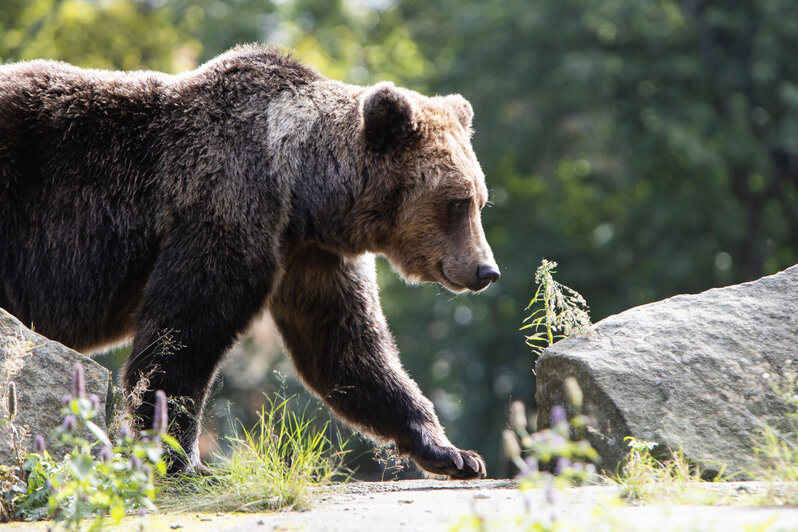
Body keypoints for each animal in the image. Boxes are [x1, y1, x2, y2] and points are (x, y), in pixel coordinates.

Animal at [0, 44, 500, 478]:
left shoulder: (312, 258)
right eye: (457, 202)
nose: (486, 271)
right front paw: (180, 457)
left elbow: (348, 348)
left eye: (480, 200)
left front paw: (452, 452)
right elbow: (180, 335)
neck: (303, 194)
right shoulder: (225, 209)